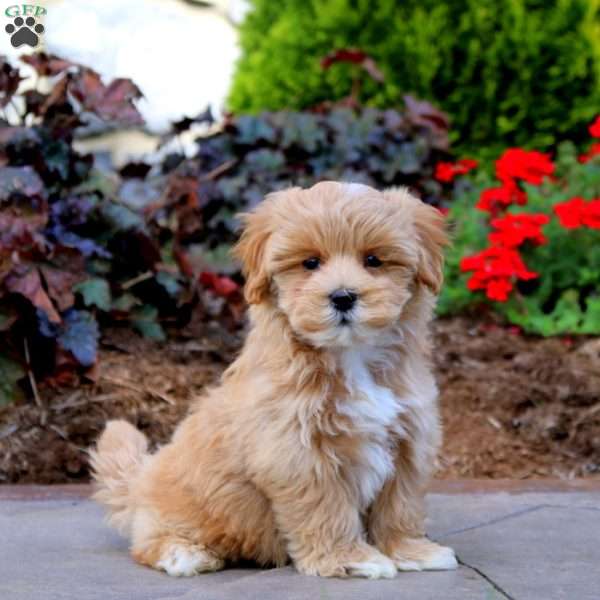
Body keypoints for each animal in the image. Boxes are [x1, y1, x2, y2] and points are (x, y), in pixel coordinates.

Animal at [90, 182, 454, 576]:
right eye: (310, 263)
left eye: (373, 260)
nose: (342, 297)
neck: (351, 355)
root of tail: (141, 480)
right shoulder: (297, 452)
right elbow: (325, 508)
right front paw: (349, 560)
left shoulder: (410, 439)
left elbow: (400, 504)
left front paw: (411, 551)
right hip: (180, 507)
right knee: (147, 541)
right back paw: (184, 553)